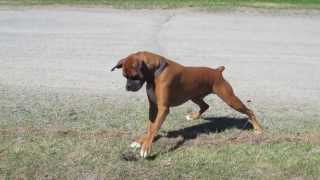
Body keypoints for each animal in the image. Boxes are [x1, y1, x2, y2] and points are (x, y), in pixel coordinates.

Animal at [110, 51, 262, 158]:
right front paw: (141, 141)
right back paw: (193, 117)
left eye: (135, 76)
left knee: (249, 111)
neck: (157, 71)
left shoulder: (163, 109)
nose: (128, 87)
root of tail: (217, 71)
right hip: (194, 96)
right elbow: (150, 127)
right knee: (205, 106)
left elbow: (154, 128)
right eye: (124, 76)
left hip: (229, 99)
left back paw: (258, 129)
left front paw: (146, 147)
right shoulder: (153, 108)